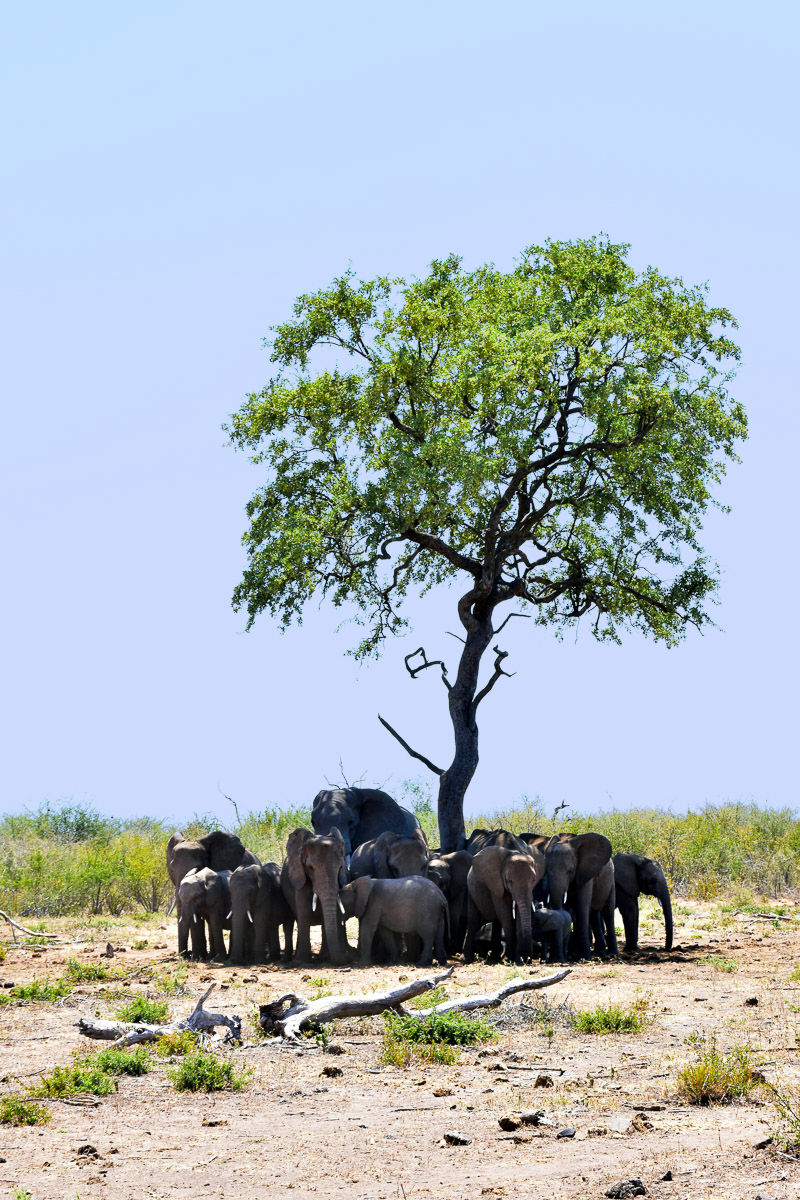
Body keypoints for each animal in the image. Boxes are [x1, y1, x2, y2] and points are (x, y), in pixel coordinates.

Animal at [280, 827, 349, 965]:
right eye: (310, 867)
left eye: (340, 866)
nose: (345, 959)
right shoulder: (300, 876)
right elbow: (304, 912)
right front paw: (302, 962)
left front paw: (325, 959)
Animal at [521, 831, 612, 960]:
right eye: (546, 870)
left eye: (570, 871)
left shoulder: (585, 872)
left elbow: (582, 907)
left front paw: (584, 957)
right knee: (594, 915)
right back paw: (597, 952)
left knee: (607, 912)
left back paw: (610, 953)